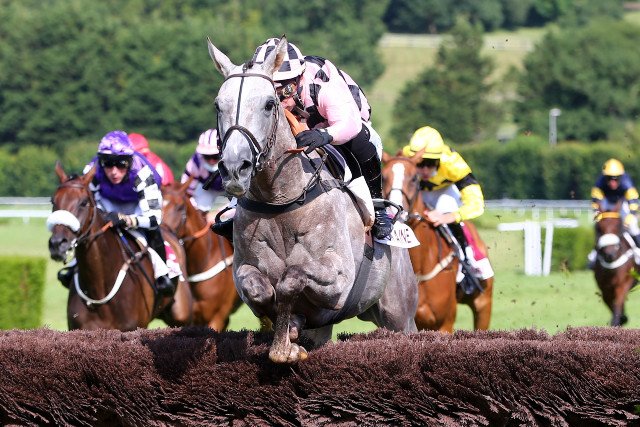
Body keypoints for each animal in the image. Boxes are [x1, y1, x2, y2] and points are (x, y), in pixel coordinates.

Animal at [48, 162, 193, 331]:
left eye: (83, 202)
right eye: (53, 201)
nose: (57, 244)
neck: (98, 288)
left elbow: (152, 215)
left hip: (181, 315)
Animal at [207, 36, 417, 363]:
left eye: (269, 104)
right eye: (219, 105)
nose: (234, 168)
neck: (281, 200)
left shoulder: (336, 278)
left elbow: (291, 279)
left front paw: (285, 345)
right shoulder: (244, 272)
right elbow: (260, 290)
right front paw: (288, 332)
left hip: (400, 315)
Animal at [381, 152, 494, 332]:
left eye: (414, 178)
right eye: (383, 177)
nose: (394, 211)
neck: (420, 266)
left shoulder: (444, 324)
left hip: (483, 303)